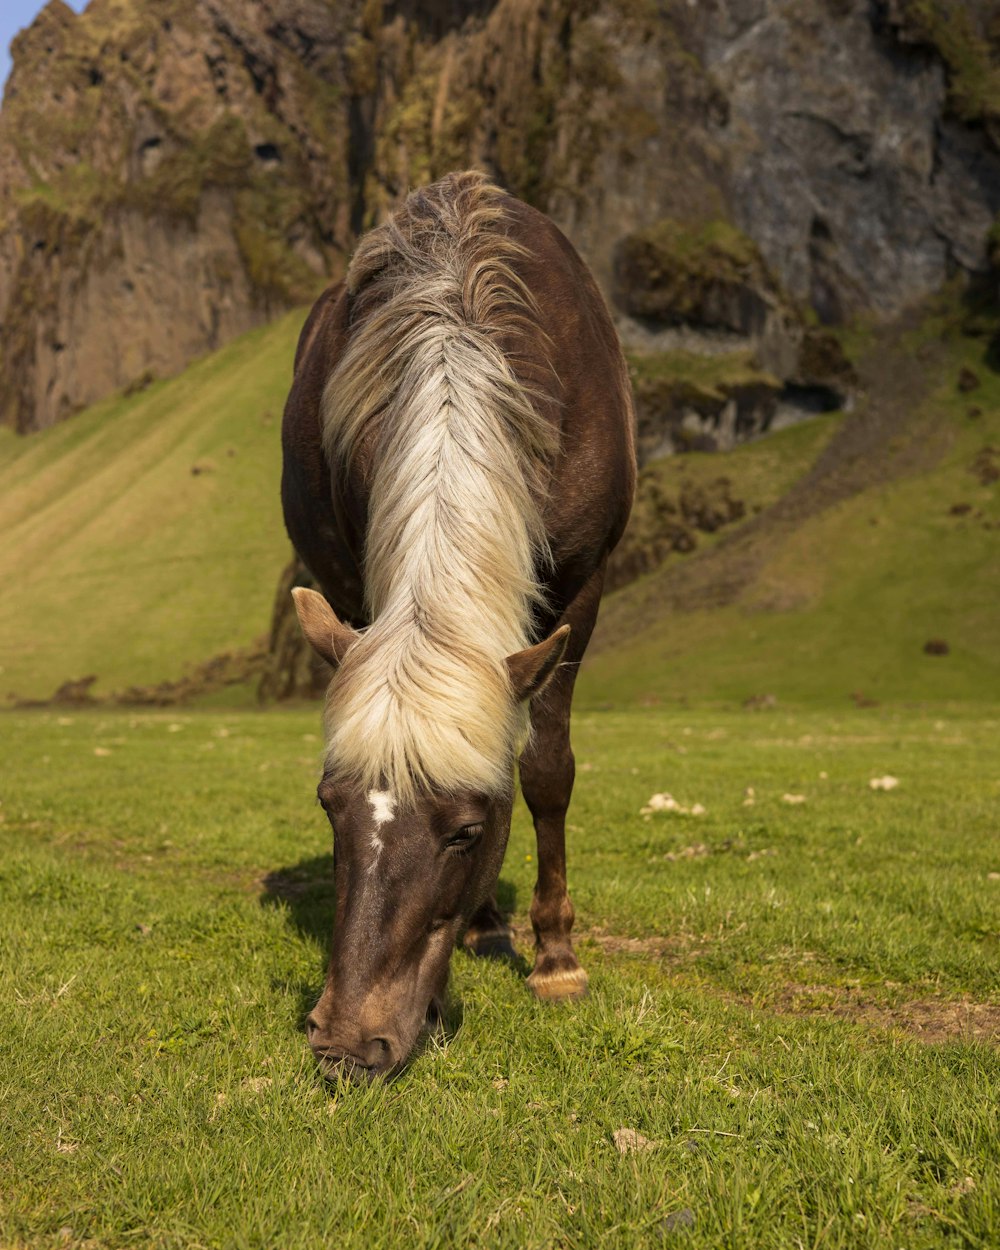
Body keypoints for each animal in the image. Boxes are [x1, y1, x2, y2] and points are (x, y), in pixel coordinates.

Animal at [281, 171, 632, 1080]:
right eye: (328, 806)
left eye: (468, 830)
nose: (348, 1044)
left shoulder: (583, 590)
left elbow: (545, 770)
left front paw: (557, 960)